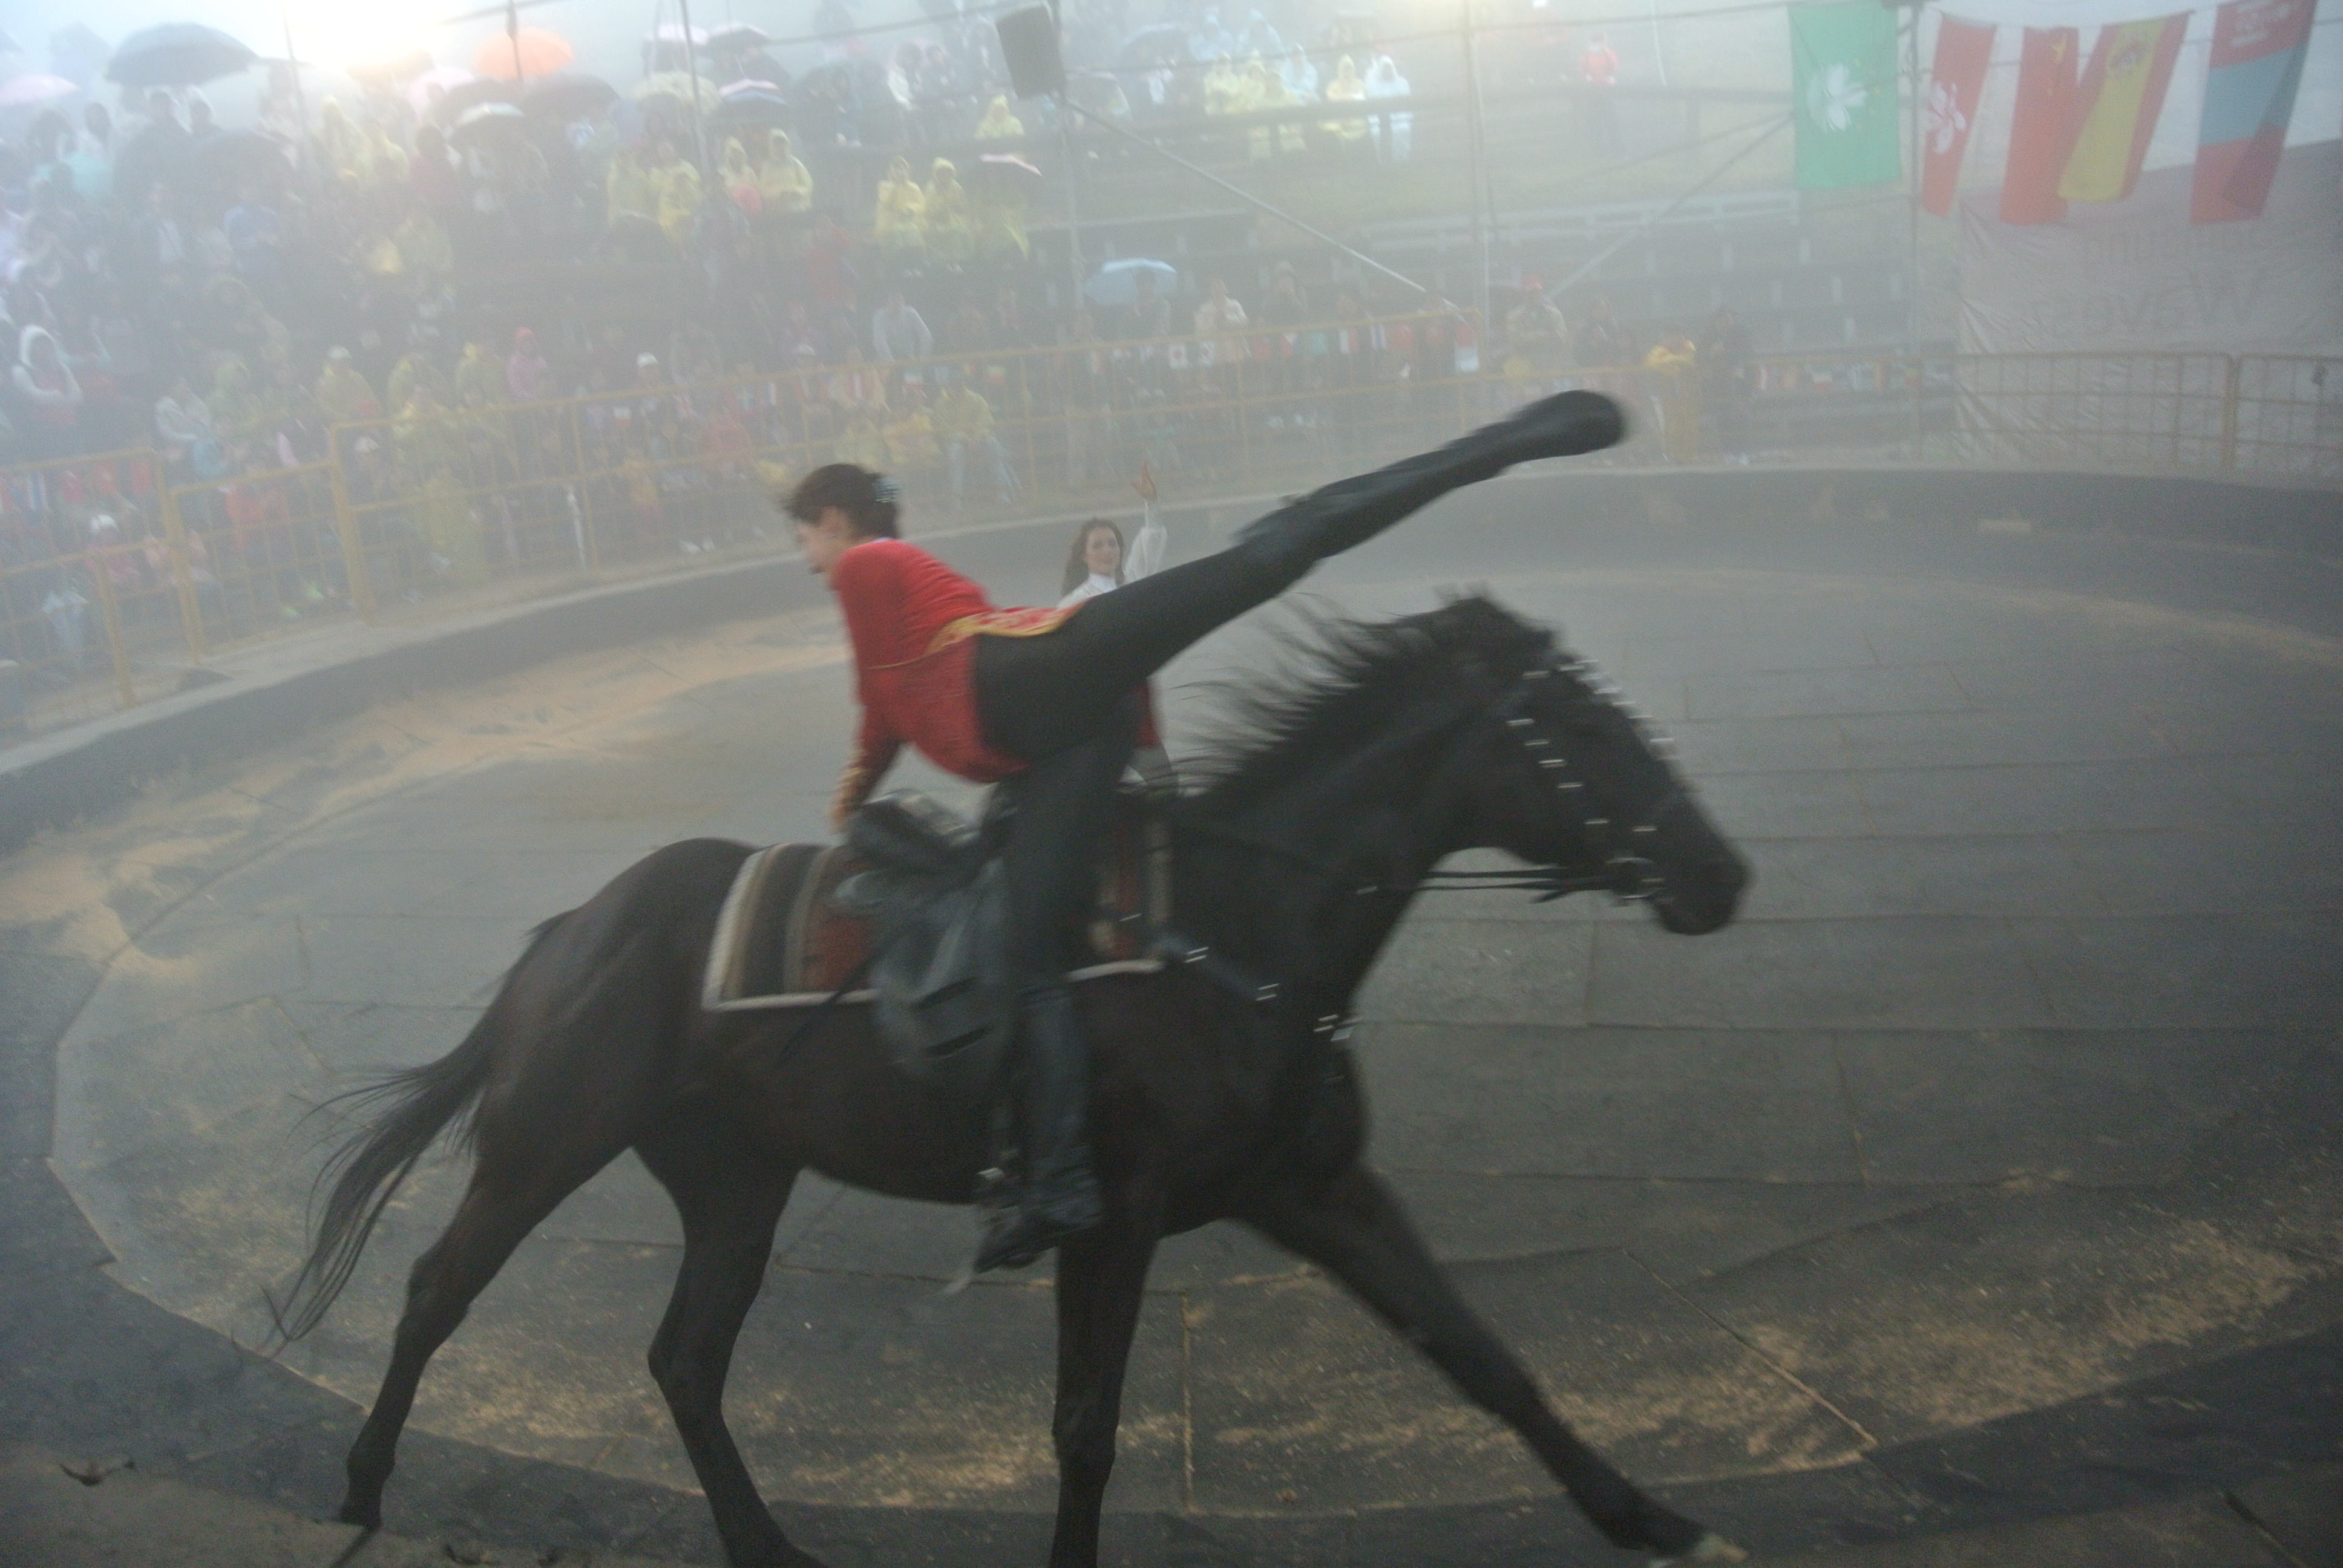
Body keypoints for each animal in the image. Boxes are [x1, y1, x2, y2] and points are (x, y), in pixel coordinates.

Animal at [277, 593, 1753, 1567]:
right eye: (1587, 733)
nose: (1719, 871)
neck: (1233, 931)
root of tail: (571, 928)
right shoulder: (1115, 1214)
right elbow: (1085, 1427)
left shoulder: (1315, 1184)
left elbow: (1478, 1354)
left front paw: (1645, 1513)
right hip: (549, 1135)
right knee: (438, 1290)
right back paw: (357, 1485)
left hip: (736, 1178)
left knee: (686, 1358)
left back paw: (764, 1541)